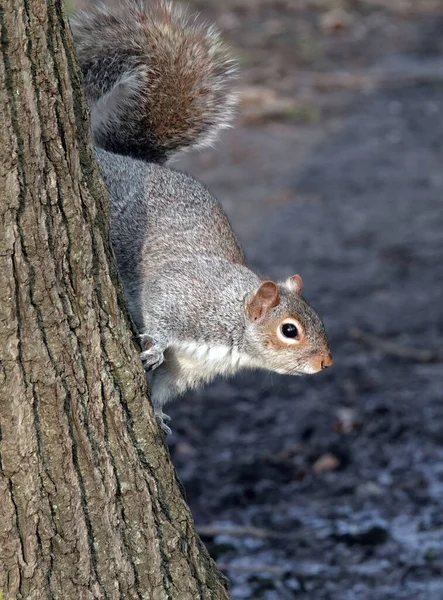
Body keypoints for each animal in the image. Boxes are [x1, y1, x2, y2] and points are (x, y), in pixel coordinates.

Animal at [71, 0, 332, 434]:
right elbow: (160, 316)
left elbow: (163, 387)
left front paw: (158, 416)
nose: (326, 361)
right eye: (289, 330)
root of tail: (121, 158)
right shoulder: (182, 297)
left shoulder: (187, 369)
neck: (234, 317)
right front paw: (155, 348)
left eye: (317, 317)